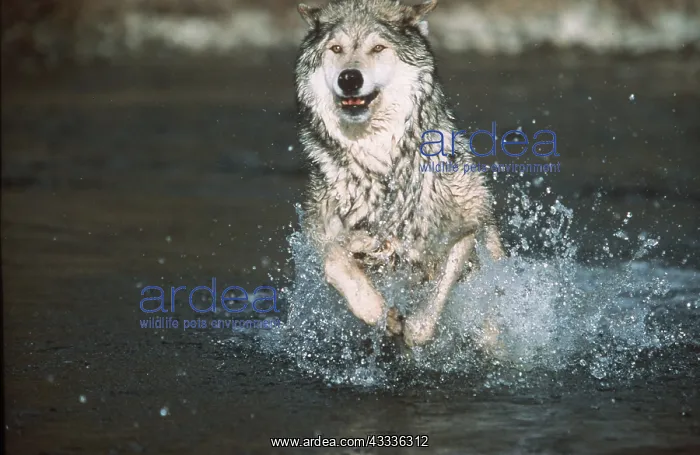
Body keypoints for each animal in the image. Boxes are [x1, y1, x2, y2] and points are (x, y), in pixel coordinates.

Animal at [294, 0, 505, 347]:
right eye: (336, 49)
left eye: (378, 48)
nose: (349, 78)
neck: (380, 164)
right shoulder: (326, 235)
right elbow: (337, 263)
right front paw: (380, 314)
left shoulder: (466, 227)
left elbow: (437, 293)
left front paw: (415, 328)